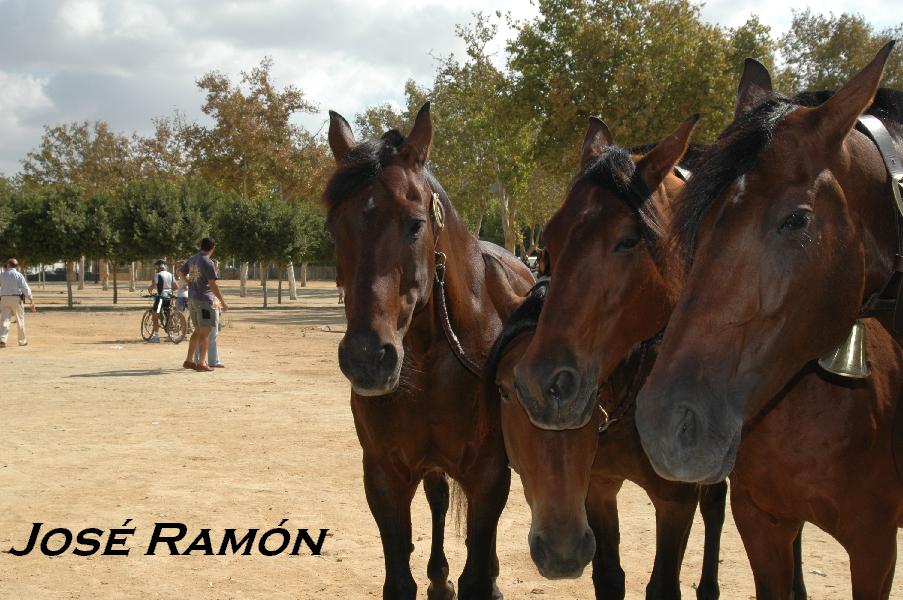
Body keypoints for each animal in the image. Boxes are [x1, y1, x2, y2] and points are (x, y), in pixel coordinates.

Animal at [326, 104, 532, 600]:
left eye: (415, 223)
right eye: (334, 228)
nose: (367, 359)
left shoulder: (489, 474)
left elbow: (477, 569)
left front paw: (486, 580)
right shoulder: (384, 475)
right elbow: (399, 579)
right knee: (438, 500)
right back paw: (439, 579)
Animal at [488, 119, 728, 596]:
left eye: (628, 240)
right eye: (548, 241)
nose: (543, 386)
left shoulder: (676, 500)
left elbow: (662, 585)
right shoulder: (598, 488)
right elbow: (609, 577)